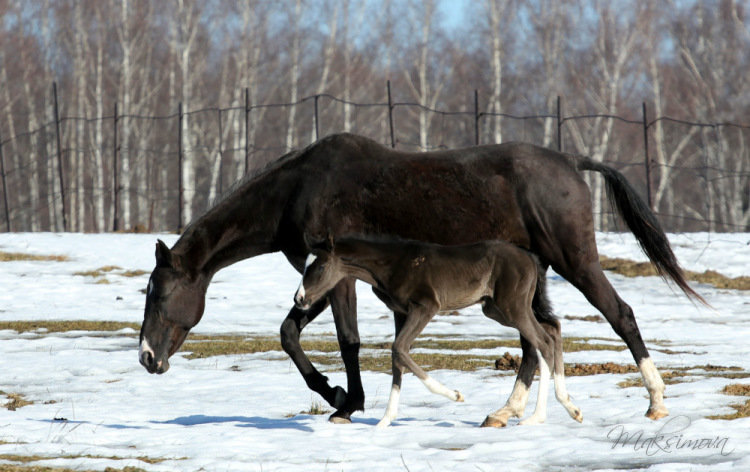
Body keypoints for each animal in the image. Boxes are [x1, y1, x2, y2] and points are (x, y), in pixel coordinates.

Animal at [292, 236, 580, 428]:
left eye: (319, 267)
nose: (299, 299)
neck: (391, 263)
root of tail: (531, 258)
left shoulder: (426, 306)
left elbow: (399, 349)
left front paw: (455, 394)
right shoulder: (401, 313)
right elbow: (397, 358)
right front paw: (385, 421)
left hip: (512, 307)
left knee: (543, 341)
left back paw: (537, 416)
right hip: (497, 309)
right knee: (553, 330)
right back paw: (570, 407)